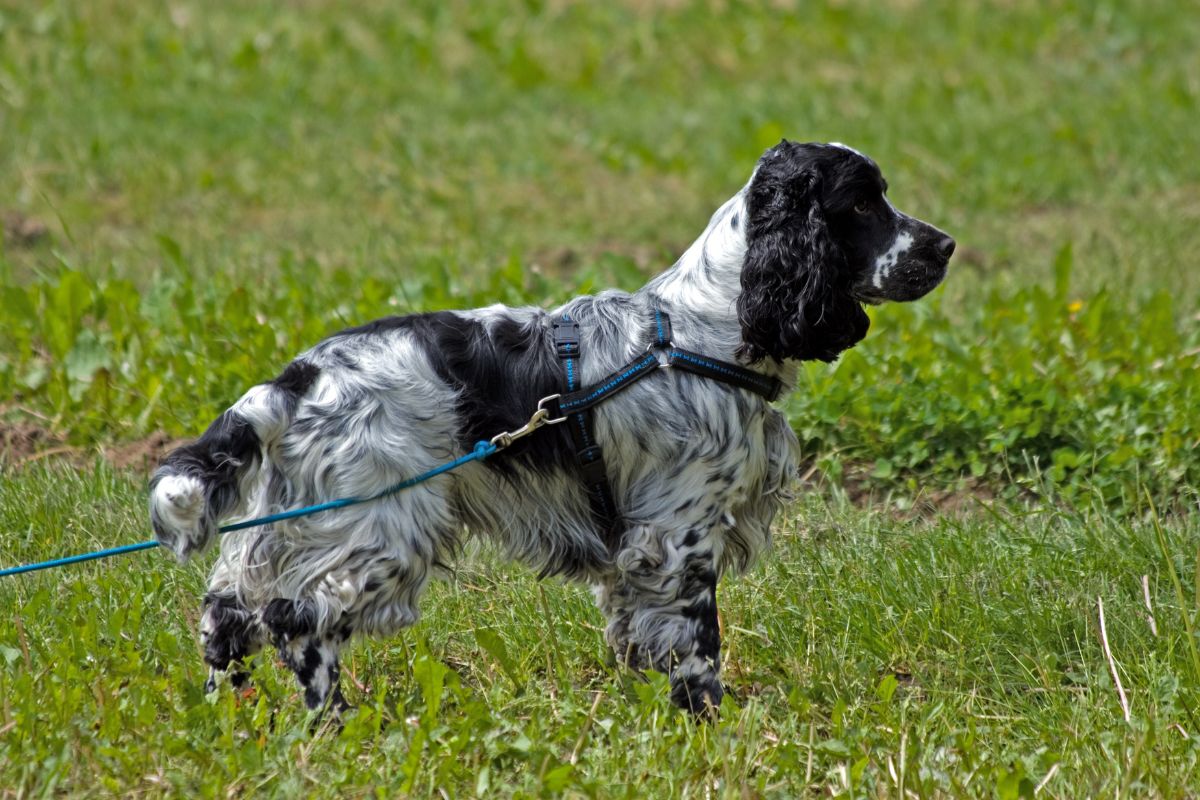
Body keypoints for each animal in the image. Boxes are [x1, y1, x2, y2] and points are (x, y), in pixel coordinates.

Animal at [150, 142, 955, 714]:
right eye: (862, 204)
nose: (946, 245)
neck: (709, 325)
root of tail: (298, 379)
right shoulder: (679, 534)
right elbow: (697, 644)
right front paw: (708, 723)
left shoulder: (637, 548)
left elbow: (638, 634)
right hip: (379, 530)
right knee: (297, 622)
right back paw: (333, 724)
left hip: (292, 521)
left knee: (227, 612)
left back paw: (233, 718)